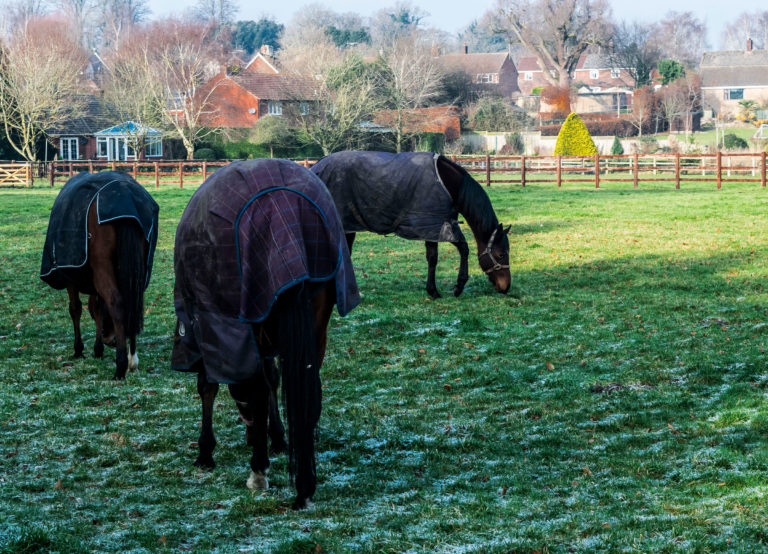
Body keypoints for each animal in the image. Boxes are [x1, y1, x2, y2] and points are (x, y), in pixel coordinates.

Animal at [40, 171, 159, 380]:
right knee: (132, 301)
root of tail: (125, 197)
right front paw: (98, 349)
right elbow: (98, 309)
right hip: (136, 271)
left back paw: (120, 367)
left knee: (116, 302)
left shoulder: (72, 279)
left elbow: (76, 308)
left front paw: (79, 349)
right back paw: (132, 359)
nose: (110, 340)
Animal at [171, 159, 360, 510]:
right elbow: (274, 379)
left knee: (257, 390)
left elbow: (210, 386)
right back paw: (303, 481)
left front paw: (206, 451)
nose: (247, 432)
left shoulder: (208, 326)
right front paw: (279, 438)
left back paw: (259, 471)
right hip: (315, 321)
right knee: (309, 385)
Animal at [311, 151, 511, 298]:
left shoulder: (440, 225)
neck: (450, 184)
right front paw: (445, 289)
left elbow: (446, 253)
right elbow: (446, 254)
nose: (506, 287)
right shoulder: (435, 227)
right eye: (501, 255)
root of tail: (317, 167)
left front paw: (443, 288)